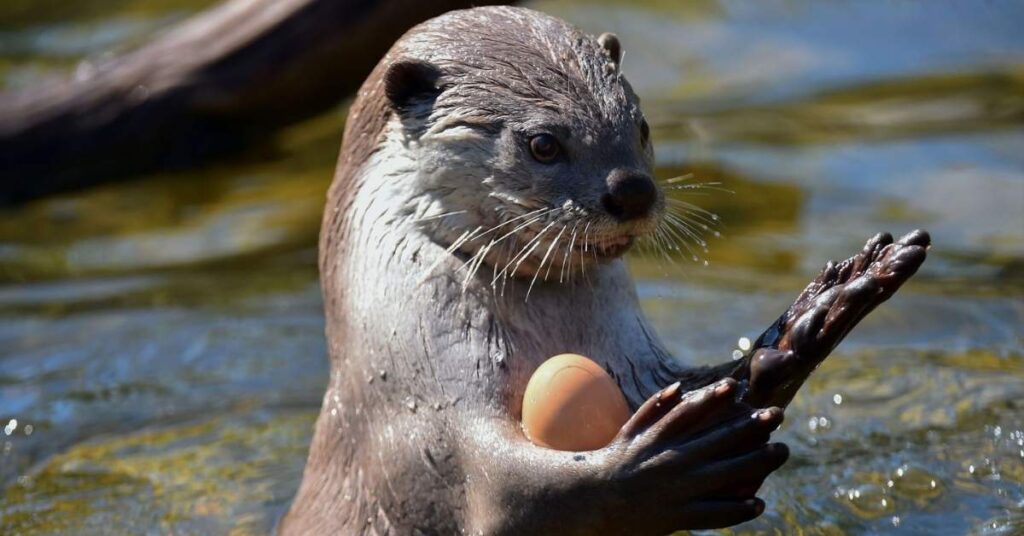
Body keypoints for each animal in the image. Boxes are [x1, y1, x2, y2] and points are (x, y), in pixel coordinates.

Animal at [280, 6, 929, 532]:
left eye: (640, 127)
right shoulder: (425, 421)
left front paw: (810, 320)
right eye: (543, 143)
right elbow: (517, 495)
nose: (633, 190)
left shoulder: (638, 361)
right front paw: (663, 465)